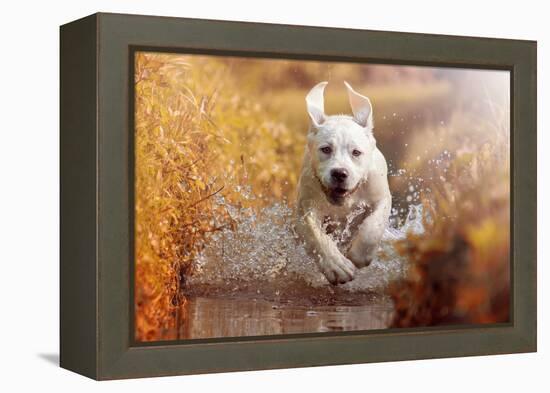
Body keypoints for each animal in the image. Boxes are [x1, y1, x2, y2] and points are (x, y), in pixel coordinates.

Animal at [298, 81, 392, 284]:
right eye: (326, 149)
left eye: (356, 152)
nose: (340, 173)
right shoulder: (306, 209)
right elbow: (317, 236)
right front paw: (337, 266)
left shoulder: (382, 198)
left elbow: (373, 226)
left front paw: (359, 255)